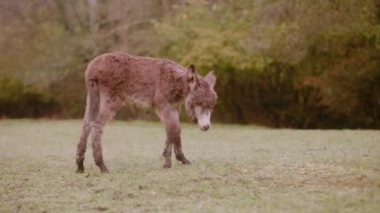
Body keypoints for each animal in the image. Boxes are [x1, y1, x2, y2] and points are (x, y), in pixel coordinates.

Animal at [75, 52, 217, 173]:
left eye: (212, 105)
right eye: (198, 102)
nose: (206, 127)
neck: (175, 81)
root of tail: (94, 65)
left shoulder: (174, 107)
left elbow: (177, 130)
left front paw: (182, 159)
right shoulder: (163, 105)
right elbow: (173, 129)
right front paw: (167, 162)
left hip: (93, 97)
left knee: (86, 124)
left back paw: (80, 165)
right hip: (112, 99)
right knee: (97, 125)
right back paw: (101, 165)